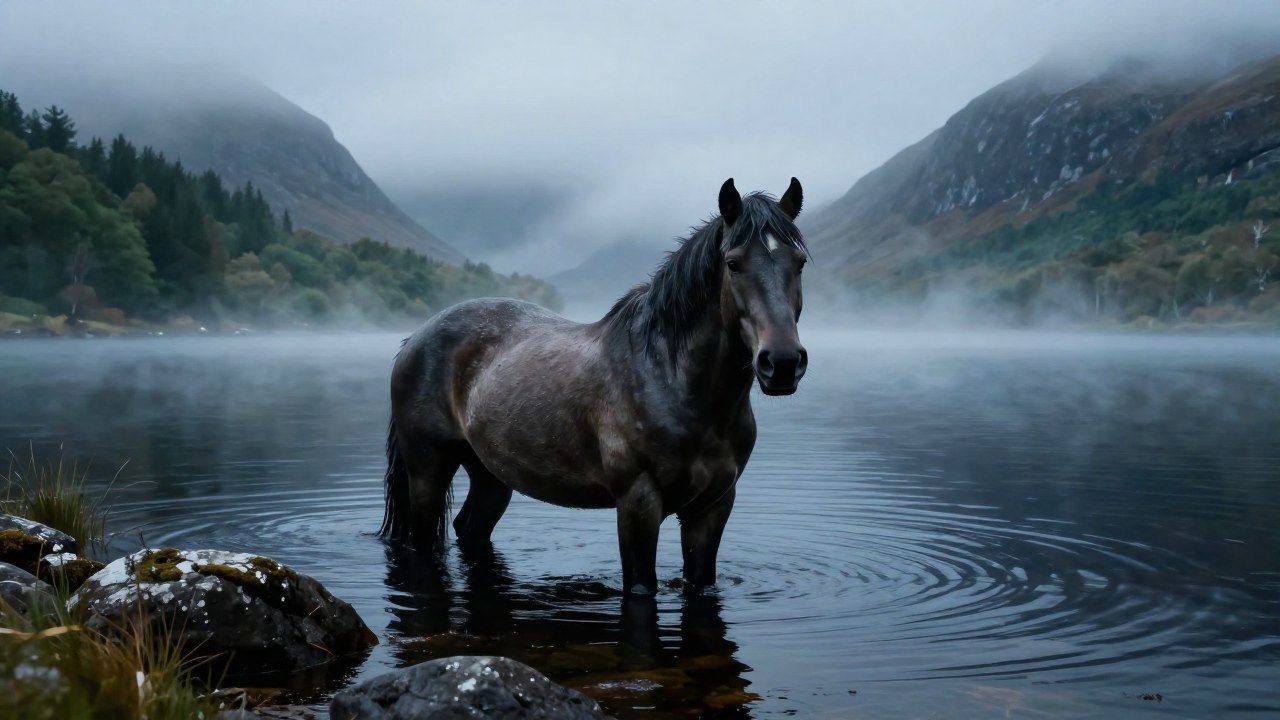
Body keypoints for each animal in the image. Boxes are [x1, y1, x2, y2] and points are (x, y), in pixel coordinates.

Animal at [380, 177, 809, 594]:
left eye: (800, 262)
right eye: (733, 263)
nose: (783, 362)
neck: (673, 382)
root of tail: (413, 339)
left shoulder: (713, 506)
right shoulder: (638, 502)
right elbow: (641, 585)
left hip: (491, 476)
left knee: (468, 529)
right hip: (428, 472)